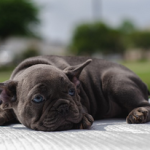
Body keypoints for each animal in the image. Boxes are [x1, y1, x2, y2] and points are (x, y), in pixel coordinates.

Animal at [0, 55, 150, 131]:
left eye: (72, 91)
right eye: (38, 98)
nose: (63, 107)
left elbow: (81, 107)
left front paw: (82, 117)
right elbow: (5, 108)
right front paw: (2, 113)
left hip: (115, 81)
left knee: (144, 104)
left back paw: (137, 113)